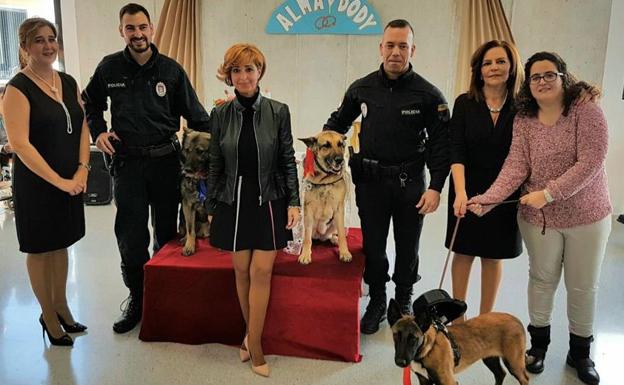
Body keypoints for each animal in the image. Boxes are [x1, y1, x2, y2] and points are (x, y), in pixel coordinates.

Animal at [300, 130, 354, 264]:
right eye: (326, 145)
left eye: (341, 144)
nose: (340, 160)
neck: (325, 179)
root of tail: (320, 236)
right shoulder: (308, 210)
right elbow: (307, 238)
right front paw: (305, 254)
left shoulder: (339, 210)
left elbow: (342, 235)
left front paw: (344, 252)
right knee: (308, 237)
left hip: (334, 222)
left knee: (333, 235)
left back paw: (334, 239)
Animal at [388, 296, 528, 384]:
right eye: (396, 335)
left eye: (413, 338)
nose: (400, 362)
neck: (428, 350)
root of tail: (516, 320)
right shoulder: (424, 381)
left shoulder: (449, 381)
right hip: (490, 358)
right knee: (500, 374)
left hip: (514, 364)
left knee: (524, 378)